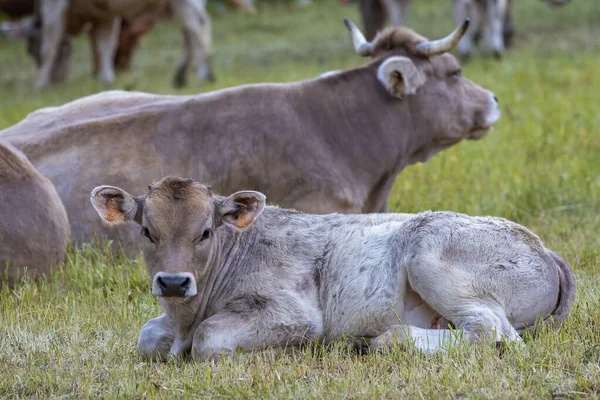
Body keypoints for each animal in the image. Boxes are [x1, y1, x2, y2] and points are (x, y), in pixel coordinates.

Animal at [89, 177, 576, 360]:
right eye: (147, 231)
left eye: (206, 231)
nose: (173, 281)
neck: (185, 319)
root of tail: (543, 248)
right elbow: (146, 336)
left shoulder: (294, 314)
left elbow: (210, 341)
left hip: (430, 254)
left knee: (492, 333)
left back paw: (376, 340)